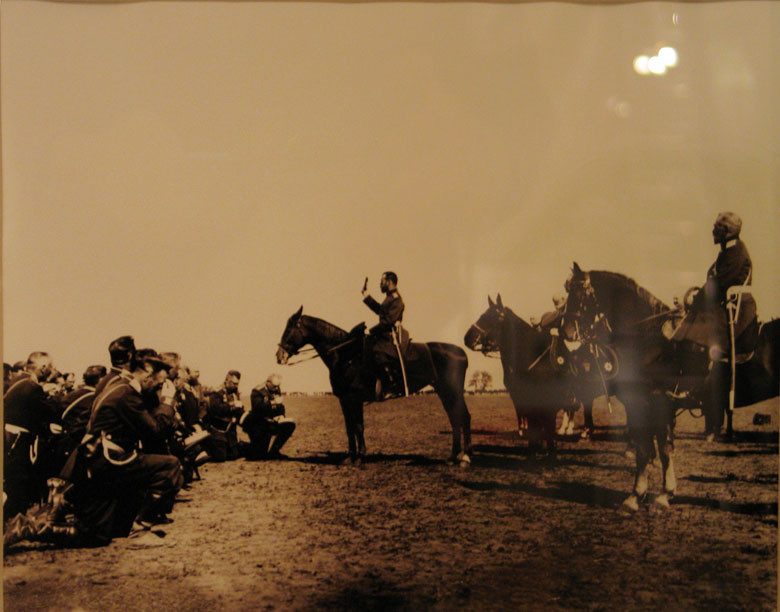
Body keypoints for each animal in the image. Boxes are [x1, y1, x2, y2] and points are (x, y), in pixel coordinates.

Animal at [276, 308, 470, 466]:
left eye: (289, 329)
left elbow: (358, 426)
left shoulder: (354, 398)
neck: (347, 356)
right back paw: (453, 457)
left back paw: (465, 458)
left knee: (463, 417)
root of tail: (460, 352)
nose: (279, 356)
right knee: (455, 419)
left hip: (452, 391)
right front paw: (350, 457)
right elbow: (349, 428)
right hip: (445, 392)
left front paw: (360, 457)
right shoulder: (344, 400)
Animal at [464, 294, 580, 456]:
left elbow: (548, 431)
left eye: (493, 317)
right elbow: (533, 430)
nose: (468, 338)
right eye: (483, 315)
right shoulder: (523, 400)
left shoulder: (546, 403)